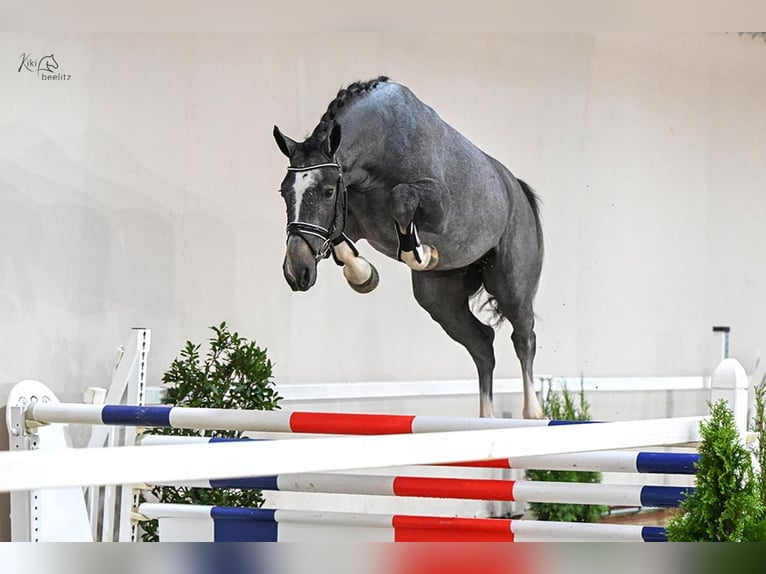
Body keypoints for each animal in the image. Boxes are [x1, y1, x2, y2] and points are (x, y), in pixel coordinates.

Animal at [273, 76, 544, 419]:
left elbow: (401, 199)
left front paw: (421, 253)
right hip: (439, 301)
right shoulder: (350, 222)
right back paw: (487, 417)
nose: (297, 272)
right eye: (284, 192)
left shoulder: (438, 205)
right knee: (482, 344)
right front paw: (363, 275)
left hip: (510, 286)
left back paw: (533, 411)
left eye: (326, 191)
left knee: (524, 336)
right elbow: (340, 242)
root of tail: (518, 190)